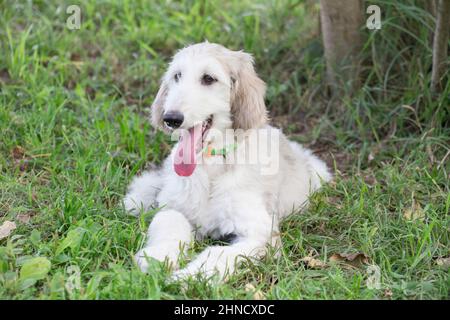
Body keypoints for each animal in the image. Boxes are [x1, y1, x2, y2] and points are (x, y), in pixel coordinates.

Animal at [123, 42, 330, 280]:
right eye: (177, 76)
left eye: (208, 78)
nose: (171, 118)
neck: (213, 164)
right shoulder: (175, 208)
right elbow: (169, 223)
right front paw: (157, 257)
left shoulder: (260, 235)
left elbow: (217, 254)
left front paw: (188, 278)